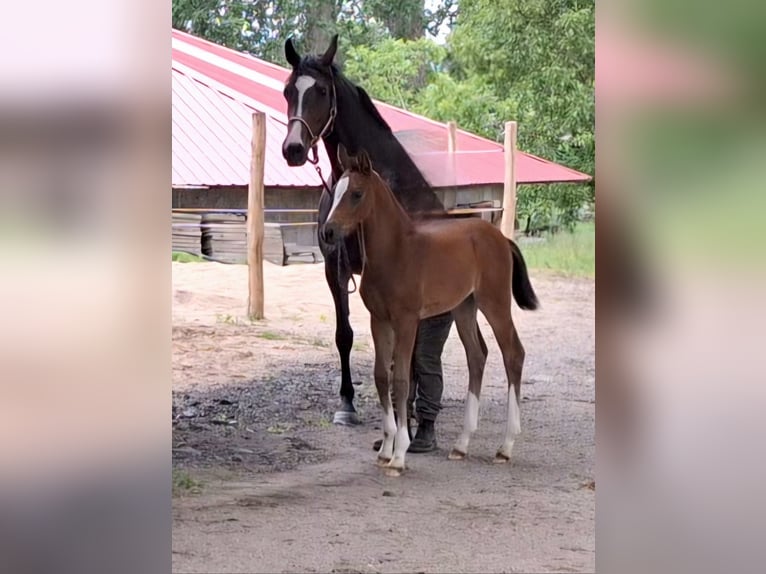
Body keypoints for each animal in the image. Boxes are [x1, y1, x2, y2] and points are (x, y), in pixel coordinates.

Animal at [280, 34, 458, 428]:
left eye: (321, 91)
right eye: (287, 91)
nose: (293, 149)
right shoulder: (335, 268)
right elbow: (344, 334)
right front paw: (346, 403)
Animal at [323, 146, 540, 476]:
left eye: (357, 194)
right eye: (335, 192)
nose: (328, 232)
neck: (395, 252)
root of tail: (501, 238)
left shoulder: (407, 320)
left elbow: (401, 379)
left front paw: (399, 456)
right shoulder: (379, 320)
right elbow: (381, 376)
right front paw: (385, 450)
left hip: (495, 303)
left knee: (513, 353)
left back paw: (505, 447)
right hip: (465, 308)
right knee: (477, 356)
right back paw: (461, 445)